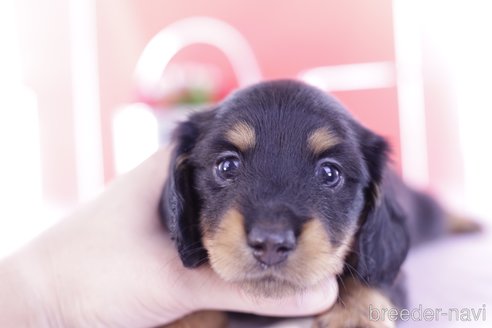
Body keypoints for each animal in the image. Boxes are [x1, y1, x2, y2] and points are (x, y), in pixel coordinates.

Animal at [160, 80, 474, 328]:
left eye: (329, 173)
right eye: (227, 166)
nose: (270, 243)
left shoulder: (390, 271)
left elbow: (367, 279)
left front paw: (353, 318)